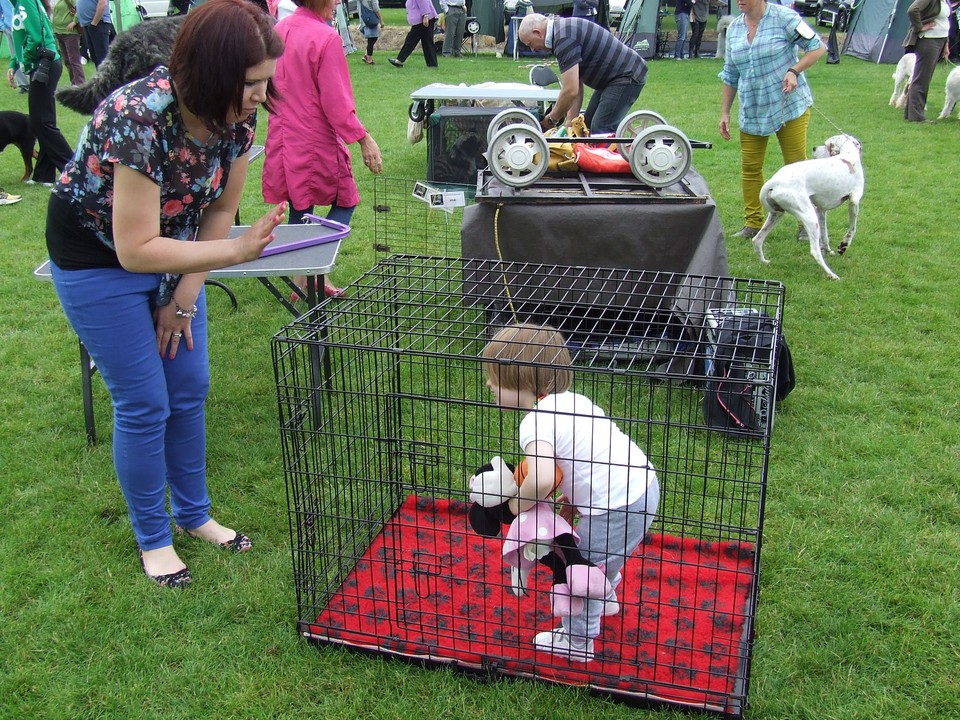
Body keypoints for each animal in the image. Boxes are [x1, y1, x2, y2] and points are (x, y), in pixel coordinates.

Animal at [752, 135, 868, 282]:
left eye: (826, 145)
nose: (814, 148)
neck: (848, 155)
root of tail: (774, 181)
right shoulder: (854, 202)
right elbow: (852, 229)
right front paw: (843, 245)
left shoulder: (821, 210)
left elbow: (825, 236)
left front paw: (829, 251)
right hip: (810, 218)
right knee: (815, 252)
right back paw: (831, 275)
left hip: (777, 214)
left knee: (757, 240)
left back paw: (764, 262)